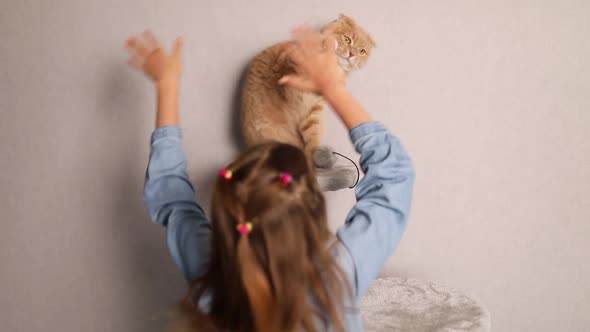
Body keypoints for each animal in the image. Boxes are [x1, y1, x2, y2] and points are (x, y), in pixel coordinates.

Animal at [240, 15, 374, 163]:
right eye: (347, 39)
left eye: (362, 51)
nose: (351, 54)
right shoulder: (288, 62)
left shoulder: (313, 109)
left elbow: (312, 137)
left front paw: (313, 157)